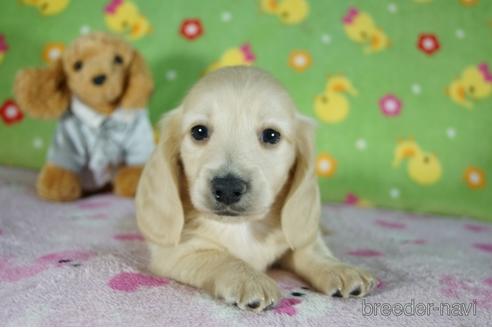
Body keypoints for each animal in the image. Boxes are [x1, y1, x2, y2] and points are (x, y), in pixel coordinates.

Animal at [136, 66, 374, 310]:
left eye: (271, 135)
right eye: (199, 131)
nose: (228, 188)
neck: (242, 227)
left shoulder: (297, 237)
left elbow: (310, 249)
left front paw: (338, 268)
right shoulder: (175, 254)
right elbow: (220, 257)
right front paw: (249, 278)